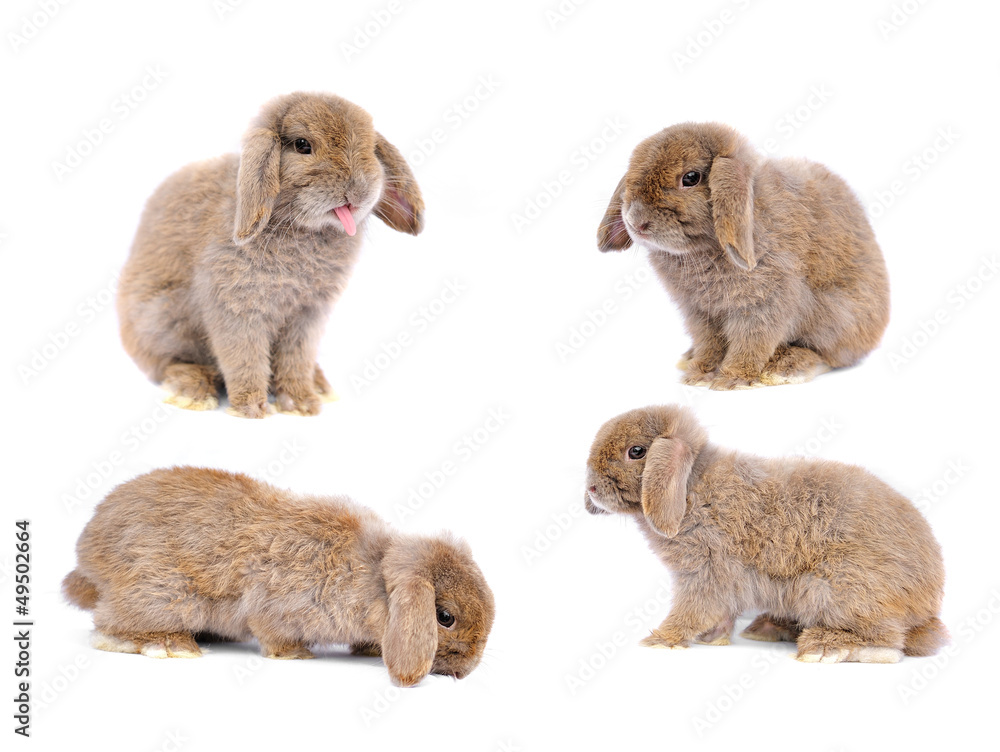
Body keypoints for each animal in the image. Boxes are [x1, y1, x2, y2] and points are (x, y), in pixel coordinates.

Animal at [62, 466, 494, 686]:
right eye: (445, 617)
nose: (468, 670)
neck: (375, 577)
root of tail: (87, 556)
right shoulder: (275, 604)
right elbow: (272, 633)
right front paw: (297, 655)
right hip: (167, 593)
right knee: (107, 626)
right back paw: (171, 646)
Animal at [117, 92, 424, 418]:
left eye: (369, 148)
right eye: (302, 145)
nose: (356, 191)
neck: (297, 226)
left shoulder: (307, 318)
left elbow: (296, 360)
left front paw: (301, 403)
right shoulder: (236, 310)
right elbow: (244, 358)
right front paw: (251, 408)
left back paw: (319, 384)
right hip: (161, 317)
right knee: (166, 364)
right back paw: (194, 391)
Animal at [584, 405, 947, 663]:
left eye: (636, 451)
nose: (591, 488)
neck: (690, 486)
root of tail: (927, 607)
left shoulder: (708, 571)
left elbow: (694, 609)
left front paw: (660, 640)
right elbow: (719, 614)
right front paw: (712, 639)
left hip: (834, 588)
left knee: (888, 644)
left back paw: (823, 648)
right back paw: (769, 628)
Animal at [597, 122, 889, 390]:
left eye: (690, 178)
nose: (636, 221)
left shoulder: (764, 305)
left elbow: (751, 343)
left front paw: (731, 379)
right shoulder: (700, 313)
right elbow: (709, 344)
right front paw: (699, 373)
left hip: (838, 318)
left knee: (827, 356)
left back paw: (784, 368)